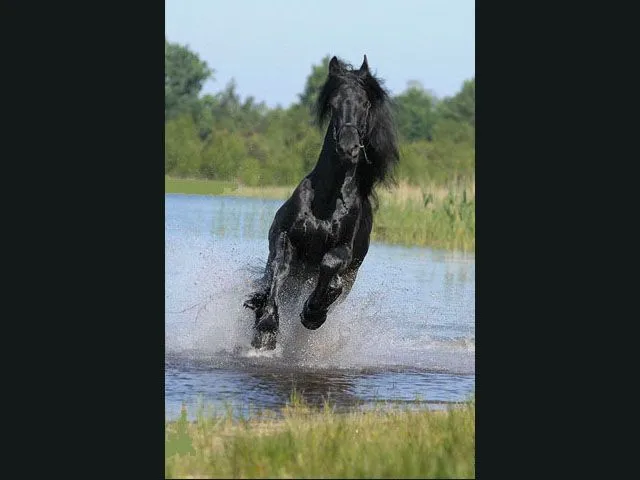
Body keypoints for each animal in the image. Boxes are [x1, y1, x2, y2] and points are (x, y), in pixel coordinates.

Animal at [244, 55, 399, 349]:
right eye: (334, 103)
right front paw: (266, 328)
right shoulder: (285, 237)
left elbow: (328, 267)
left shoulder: (343, 251)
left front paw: (312, 313)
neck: (326, 202)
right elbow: (279, 271)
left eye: (365, 104)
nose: (349, 147)